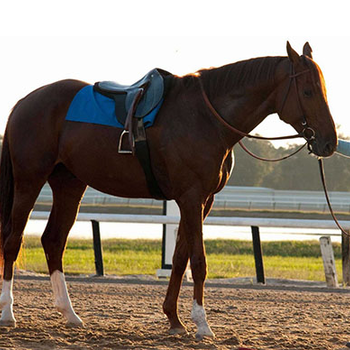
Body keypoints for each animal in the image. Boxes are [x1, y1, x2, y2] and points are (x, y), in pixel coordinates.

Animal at [0, 41, 338, 340]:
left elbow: (179, 259)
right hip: (30, 181)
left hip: (70, 185)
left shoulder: (202, 201)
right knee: (12, 241)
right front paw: (202, 324)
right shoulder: (191, 198)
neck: (206, 118)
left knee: (53, 241)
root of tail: (25, 101)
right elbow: (198, 261)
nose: (329, 142)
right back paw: (8, 313)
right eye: (307, 91)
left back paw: (70, 314)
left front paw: (174, 319)